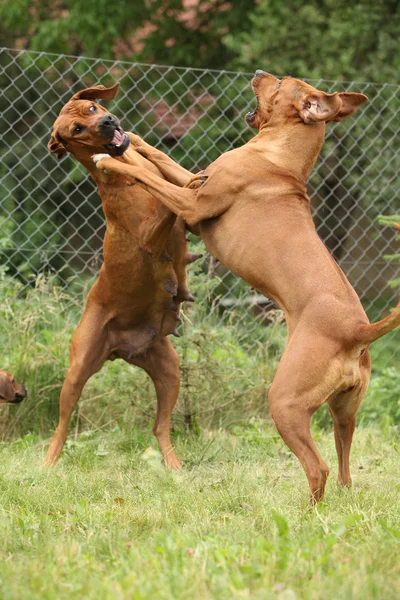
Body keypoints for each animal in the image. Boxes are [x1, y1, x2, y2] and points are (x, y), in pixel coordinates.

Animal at [45, 84, 200, 468]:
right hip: (78, 368)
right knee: (62, 425)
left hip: (168, 368)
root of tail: (122, 349)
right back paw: (47, 465)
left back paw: (174, 467)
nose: (107, 122)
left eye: (91, 107)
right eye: (77, 130)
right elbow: (169, 199)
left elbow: (171, 171)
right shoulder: (150, 233)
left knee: (160, 427)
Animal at [94, 70, 400, 502]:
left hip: (285, 404)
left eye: (281, 83)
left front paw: (108, 159)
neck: (277, 155)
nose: (258, 74)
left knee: (318, 468)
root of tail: (358, 330)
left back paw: (306, 511)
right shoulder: (193, 182)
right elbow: (161, 158)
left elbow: (147, 174)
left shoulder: (191, 206)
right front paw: (130, 138)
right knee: (343, 471)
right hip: (344, 412)